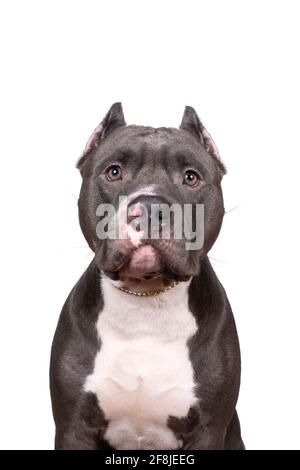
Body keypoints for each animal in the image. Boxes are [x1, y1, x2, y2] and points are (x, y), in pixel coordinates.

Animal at [50, 102, 245, 448]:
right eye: (114, 171)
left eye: (191, 177)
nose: (152, 208)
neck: (145, 302)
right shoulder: (73, 427)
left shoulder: (208, 429)